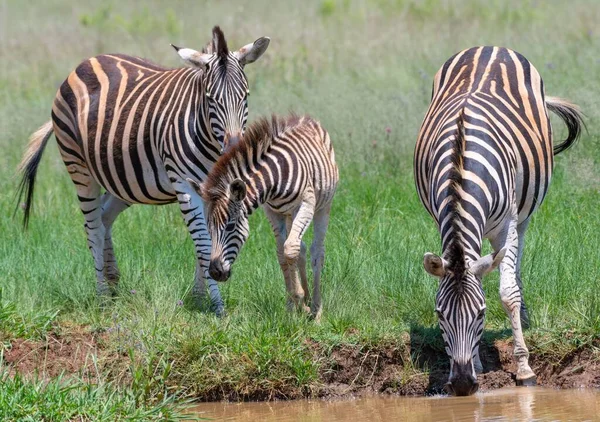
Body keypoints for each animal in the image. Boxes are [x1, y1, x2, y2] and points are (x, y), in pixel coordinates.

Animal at [15, 27, 270, 316]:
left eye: (245, 96)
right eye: (209, 100)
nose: (234, 148)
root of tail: (87, 62)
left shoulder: (212, 189)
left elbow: (208, 239)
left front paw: (198, 298)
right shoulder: (184, 184)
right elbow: (204, 243)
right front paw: (216, 305)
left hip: (121, 178)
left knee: (103, 217)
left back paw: (113, 282)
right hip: (79, 166)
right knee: (92, 225)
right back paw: (102, 297)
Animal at [188, 113, 338, 322]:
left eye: (230, 227)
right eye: (209, 229)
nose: (215, 272)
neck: (274, 180)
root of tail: (305, 119)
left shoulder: (306, 204)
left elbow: (289, 250)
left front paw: (299, 299)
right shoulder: (272, 212)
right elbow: (282, 254)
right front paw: (293, 306)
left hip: (322, 206)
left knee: (316, 252)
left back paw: (316, 308)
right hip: (289, 214)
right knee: (300, 248)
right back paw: (307, 301)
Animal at [414, 46, 584, 396]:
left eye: (481, 313)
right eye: (439, 315)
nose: (462, 385)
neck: (460, 167)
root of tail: (487, 47)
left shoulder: (507, 224)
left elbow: (507, 293)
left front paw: (524, 369)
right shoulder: (444, 224)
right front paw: (478, 364)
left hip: (523, 214)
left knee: (514, 265)